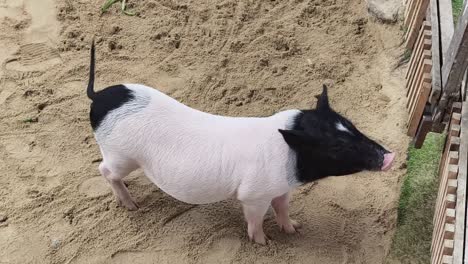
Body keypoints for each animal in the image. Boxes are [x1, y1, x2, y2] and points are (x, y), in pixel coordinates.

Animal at [87, 40, 394, 244]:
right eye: (336, 147)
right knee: (104, 170)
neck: (290, 161)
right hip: (120, 154)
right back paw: (132, 206)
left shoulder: (281, 187)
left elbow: (283, 207)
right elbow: (255, 219)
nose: (389, 156)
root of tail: (98, 96)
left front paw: (295, 228)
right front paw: (265, 243)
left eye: (351, 125)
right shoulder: (253, 194)